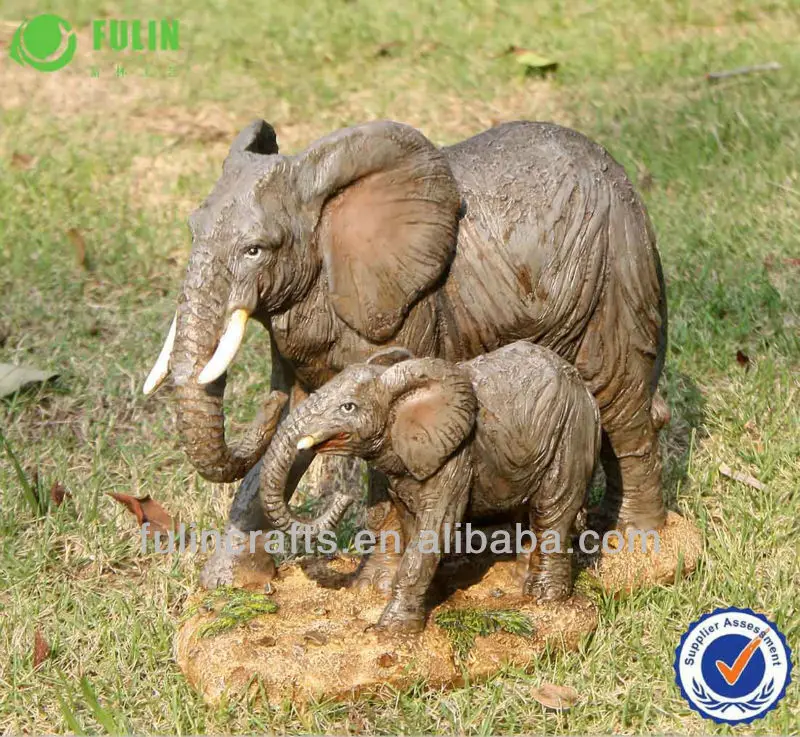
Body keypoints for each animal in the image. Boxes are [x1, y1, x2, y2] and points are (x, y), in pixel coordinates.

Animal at [143, 118, 668, 589]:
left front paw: (371, 587)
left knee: (619, 400)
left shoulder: (406, 309)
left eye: (255, 250)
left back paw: (635, 553)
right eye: (192, 229)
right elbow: (294, 431)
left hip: (615, 273)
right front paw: (225, 585)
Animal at [258, 342, 602, 632]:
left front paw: (390, 631)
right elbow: (410, 522)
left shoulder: (457, 455)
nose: (342, 497)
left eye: (348, 408)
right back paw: (519, 582)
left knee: (551, 508)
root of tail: (586, 393)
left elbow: (435, 526)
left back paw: (543, 597)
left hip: (572, 430)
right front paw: (428, 600)